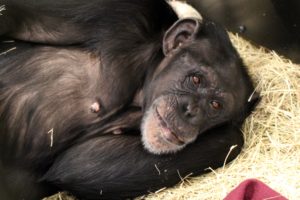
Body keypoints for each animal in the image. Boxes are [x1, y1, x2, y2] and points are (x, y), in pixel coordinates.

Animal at [0, 0, 258, 199]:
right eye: (196, 80)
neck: (140, 86)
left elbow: (80, 165)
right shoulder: (123, 12)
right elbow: (12, 14)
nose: (191, 111)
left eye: (215, 105)